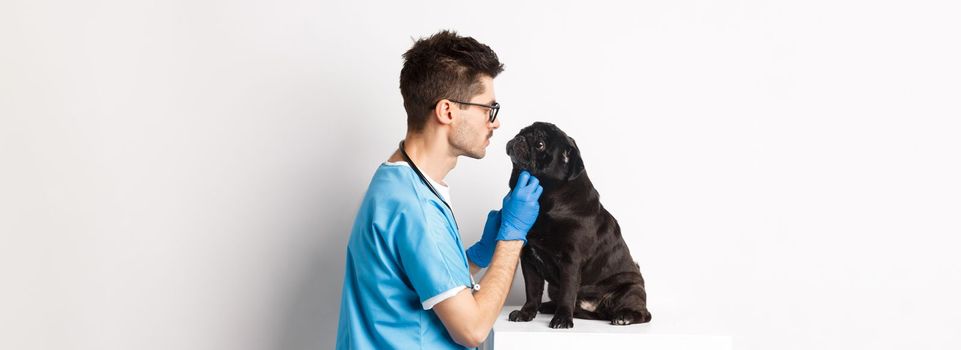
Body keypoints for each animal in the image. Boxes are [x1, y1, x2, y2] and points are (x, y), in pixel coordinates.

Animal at [502, 122, 652, 328]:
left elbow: (568, 293)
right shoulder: (529, 260)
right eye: (521, 131)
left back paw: (624, 317)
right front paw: (526, 313)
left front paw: (563, 319)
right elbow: (532, 291)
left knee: (643, 314)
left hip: (630, 289)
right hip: (553, 288)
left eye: (540, 144)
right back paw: (547, 306)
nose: (519, 138)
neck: (545, 198)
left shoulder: (571, 262)